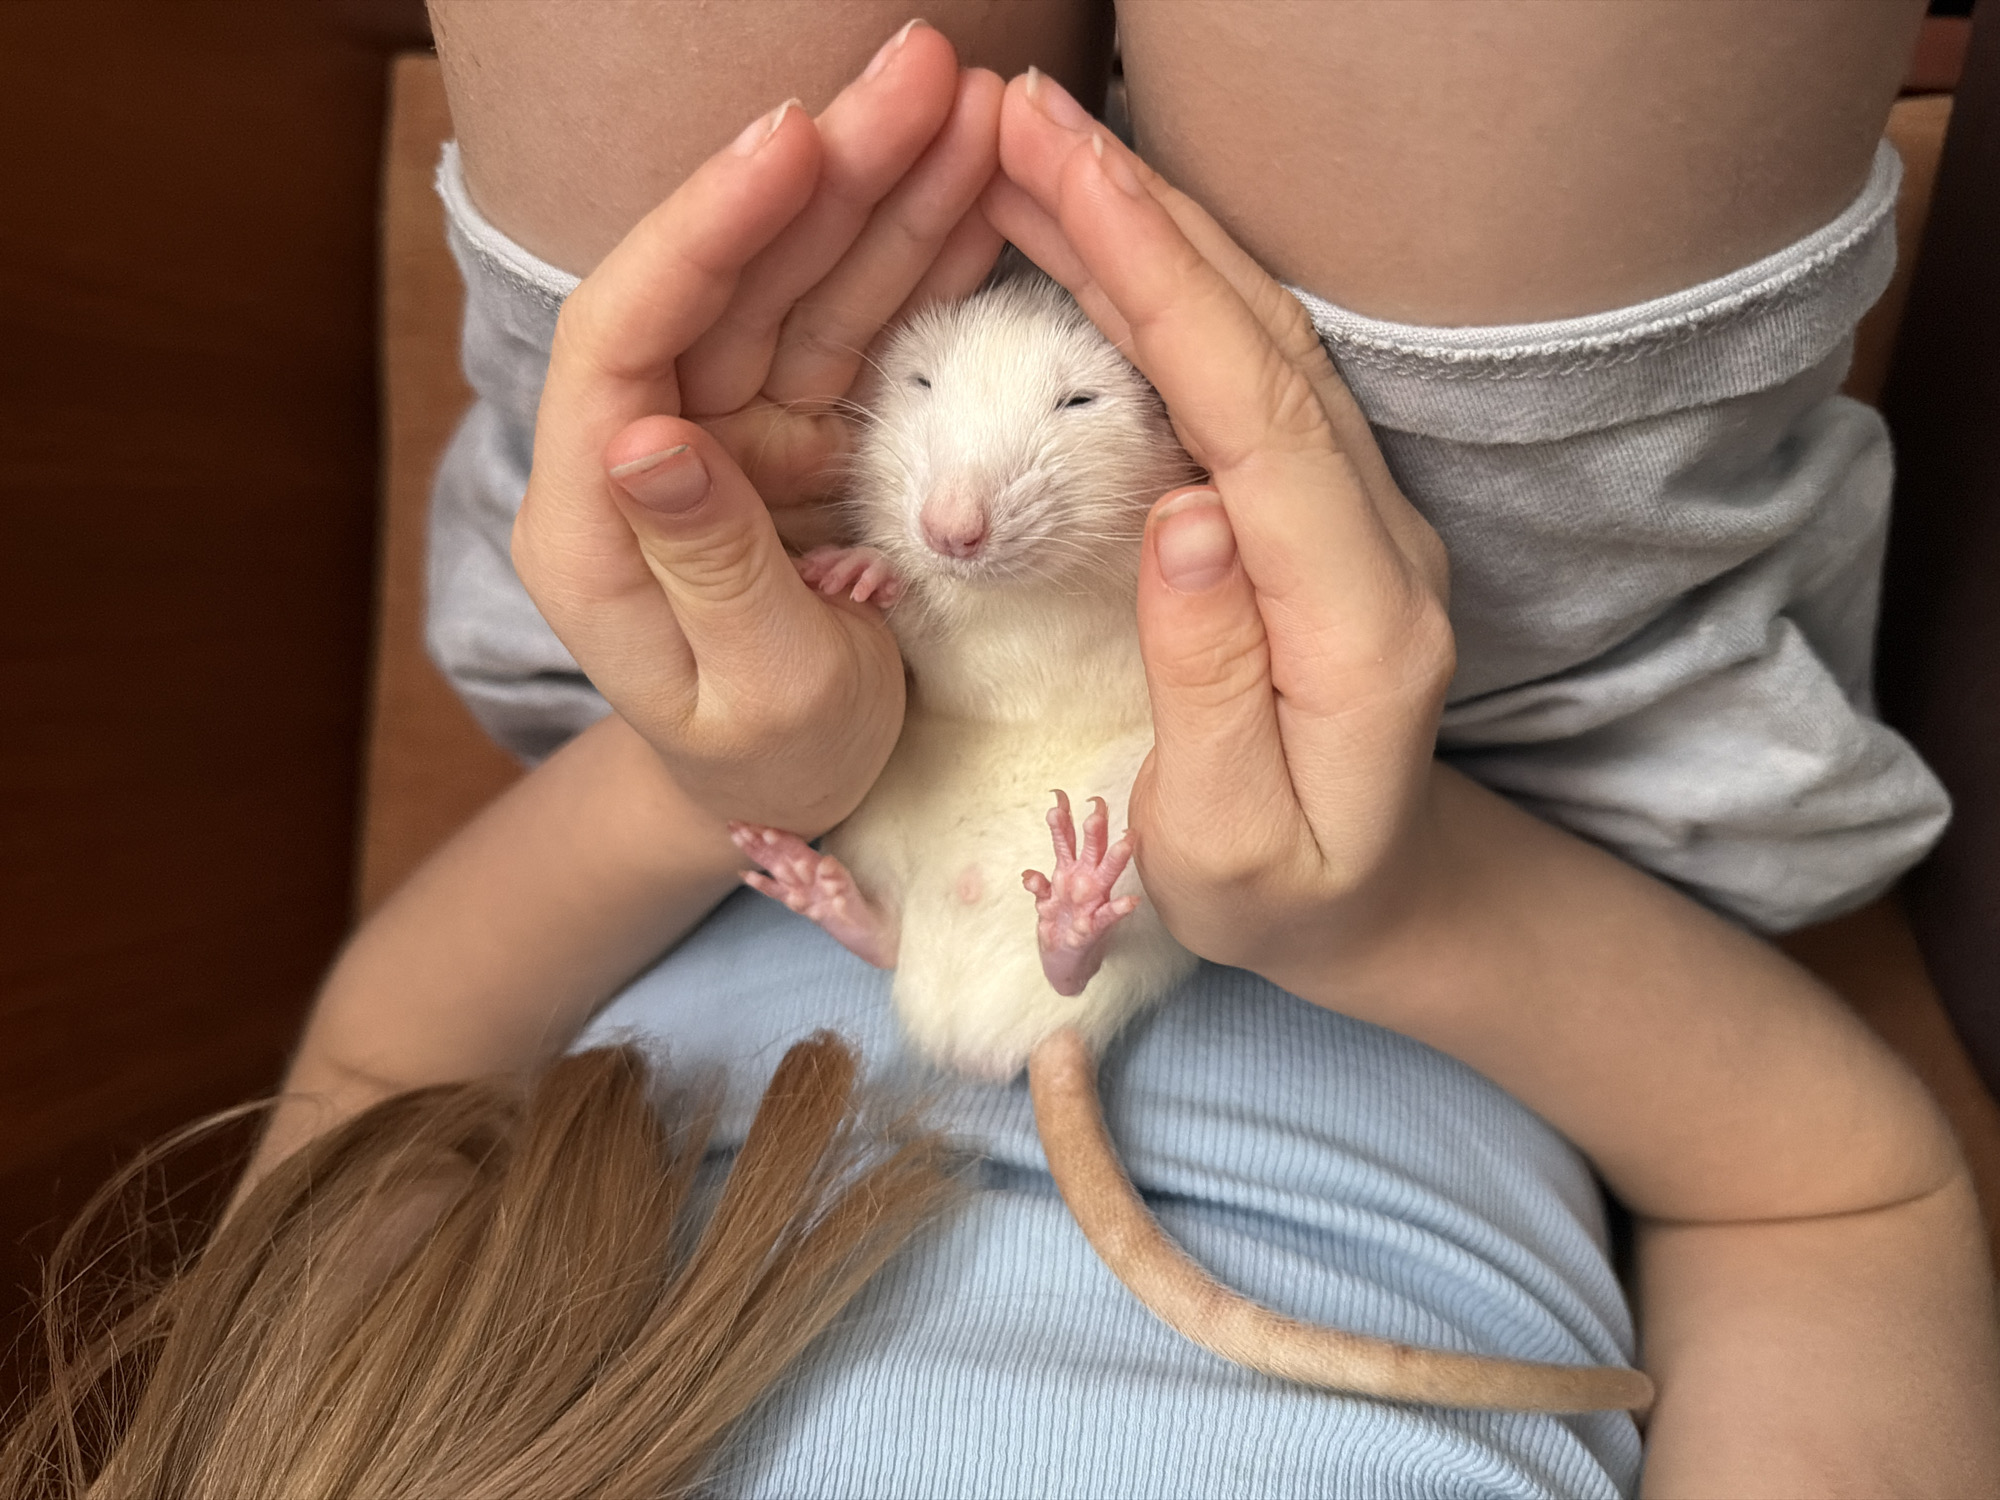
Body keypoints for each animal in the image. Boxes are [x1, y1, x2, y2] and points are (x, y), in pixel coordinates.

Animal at [731, 269, 1653, 1414]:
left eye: (1076, 401)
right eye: (920, 382)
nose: (950, 529)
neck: (1019, 593)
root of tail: (1019, 1026)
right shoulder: (944, 645)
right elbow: (922, 644)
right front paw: (859, 573)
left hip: (1146, 841)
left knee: (1084, 944)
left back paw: (1073, 920)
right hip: (888, 807)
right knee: (889, 929)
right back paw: (839, 901)